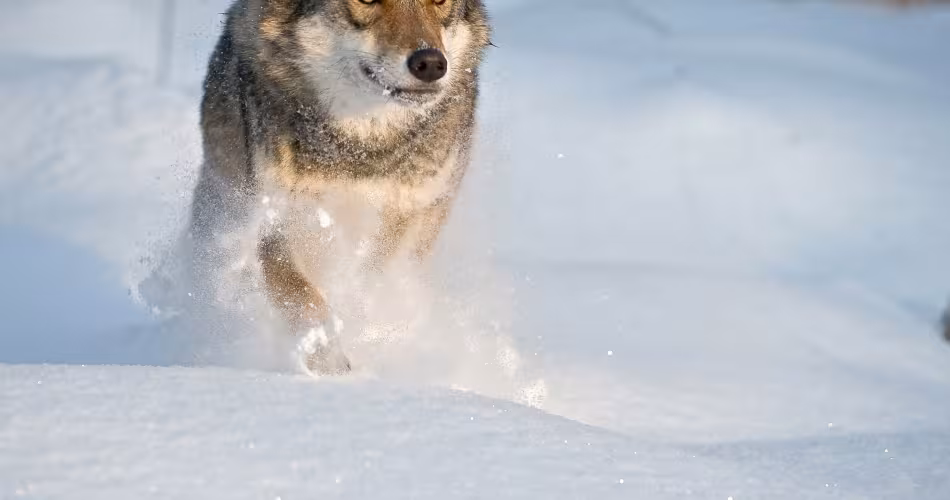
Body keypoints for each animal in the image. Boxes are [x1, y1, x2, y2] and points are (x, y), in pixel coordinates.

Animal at [188, 0, 491, 375]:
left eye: (439, 1)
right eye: (366, 1)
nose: (431, 64)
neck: (364, 146)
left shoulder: (410, 214)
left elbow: (374, 285)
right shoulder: (277, 218)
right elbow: (305, 299)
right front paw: (331, 366)